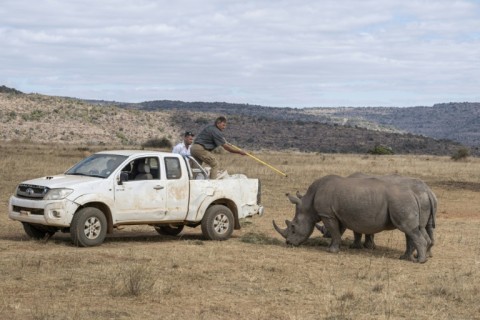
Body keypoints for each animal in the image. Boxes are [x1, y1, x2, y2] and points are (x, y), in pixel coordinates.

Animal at [274, 175, 432, 262]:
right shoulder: (336, 214)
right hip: (405, 201)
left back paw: (419, 261)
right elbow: (338, 232)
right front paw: (335, 247)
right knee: (413, 229)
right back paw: (407, 258)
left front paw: (331, 251)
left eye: (293, 227)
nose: (288, 243)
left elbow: (335, 232)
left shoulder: (327, 214)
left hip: (401, 201)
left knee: (408, 229)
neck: (308, 205)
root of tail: (415, 192)